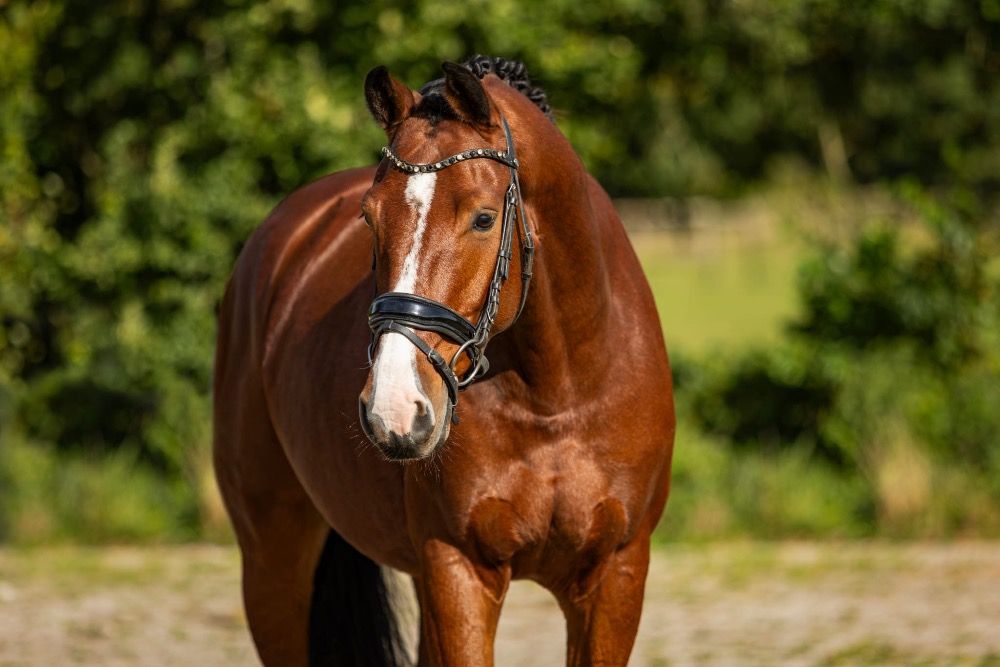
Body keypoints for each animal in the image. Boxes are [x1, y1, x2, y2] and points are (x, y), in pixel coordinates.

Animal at [213, 55, 675, 666]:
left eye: (483, 219)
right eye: (369, 218)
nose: (394, 409)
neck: (557, 396)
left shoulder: (615, 576)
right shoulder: (458, 569)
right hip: (273, 562)